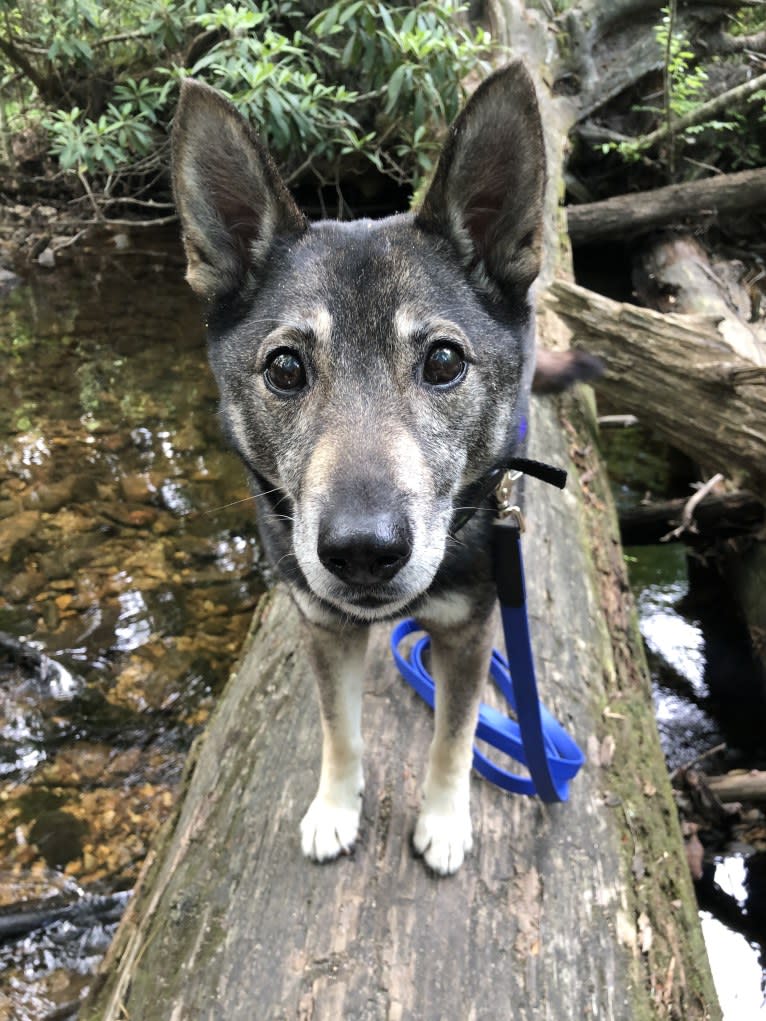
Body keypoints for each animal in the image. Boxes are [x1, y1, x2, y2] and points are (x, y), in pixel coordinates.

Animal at [172, 61, 592, 878]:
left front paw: (445, 820)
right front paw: (336, 809)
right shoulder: (323, 625)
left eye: (444, 360)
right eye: (285, 369)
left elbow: (455, 738)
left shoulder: (469, 630)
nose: (363, 552)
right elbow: (341, 729)